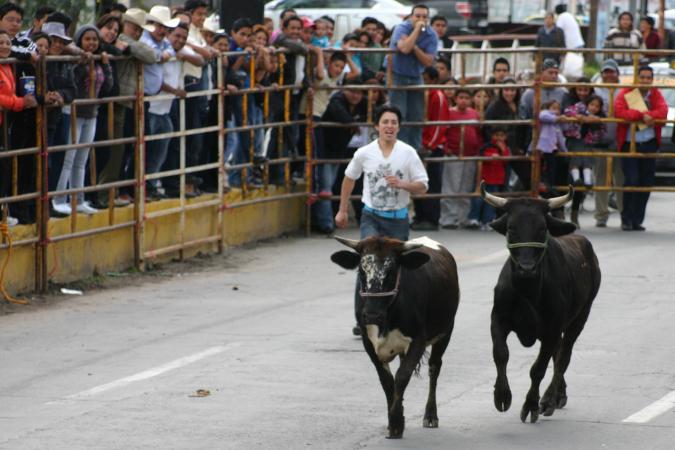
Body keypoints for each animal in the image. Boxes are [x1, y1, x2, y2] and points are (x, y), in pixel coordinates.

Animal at [332, 237, 460, 438]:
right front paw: (395, 419)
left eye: (391, 271)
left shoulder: (418, 340)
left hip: (445, 332)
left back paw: (431, 415)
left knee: (434, 368)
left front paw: (396, 422)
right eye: (361, 270)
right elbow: (387, 381)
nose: (372, 315)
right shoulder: (369, 344)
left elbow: (401, 376)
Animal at [480, 182, 604, 422]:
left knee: (563, 356)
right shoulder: (498, 319)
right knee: (558, 355)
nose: (526, 268)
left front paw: (532, 405)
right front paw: (502, 395)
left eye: (542, 228)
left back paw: (549, 399)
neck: (527, 291)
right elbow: (501, 354)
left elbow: (538, 369)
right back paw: (558, 396)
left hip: (580, 318)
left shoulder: (551, 330)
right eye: (511, 228)